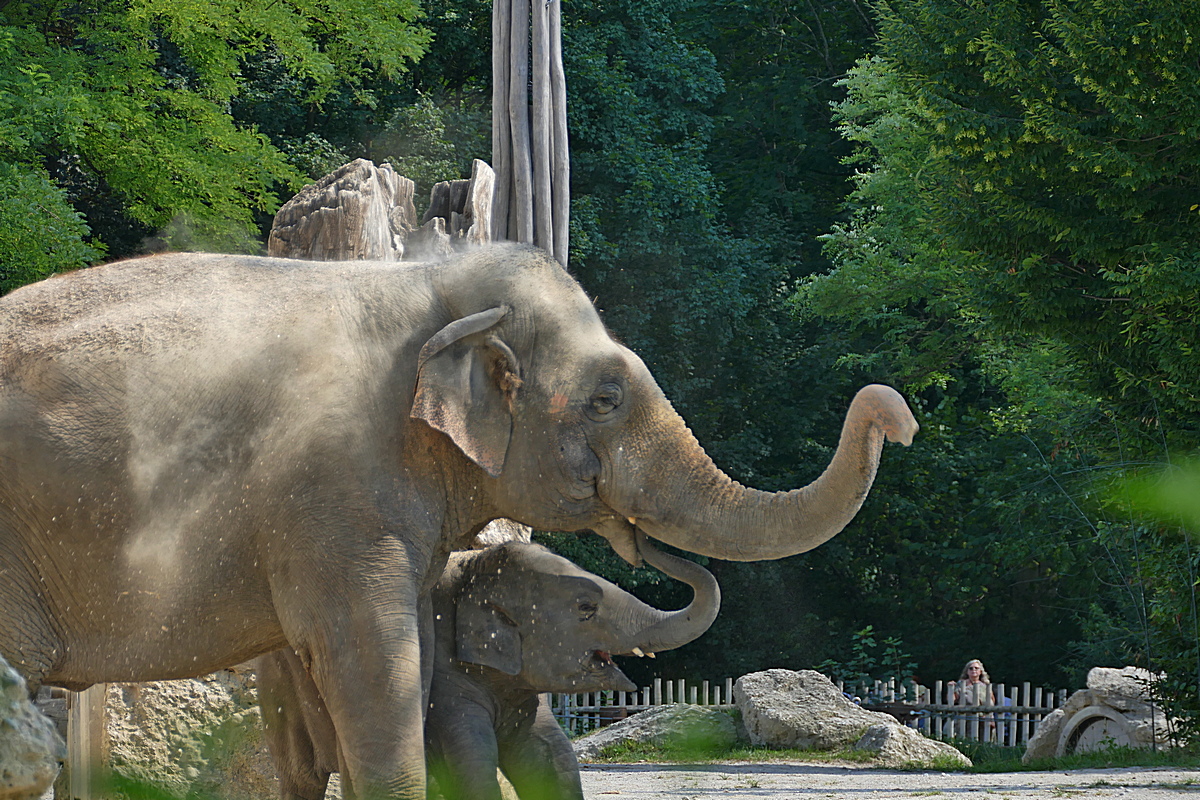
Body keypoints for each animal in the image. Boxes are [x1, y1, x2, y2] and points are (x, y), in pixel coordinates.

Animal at [256, 532, 715, 800]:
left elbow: (553, 758)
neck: (473, 571)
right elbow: (472, 760)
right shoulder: (444, 678)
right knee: (302, 777)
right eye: (586, 608)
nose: (639, 539)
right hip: (282, 691)